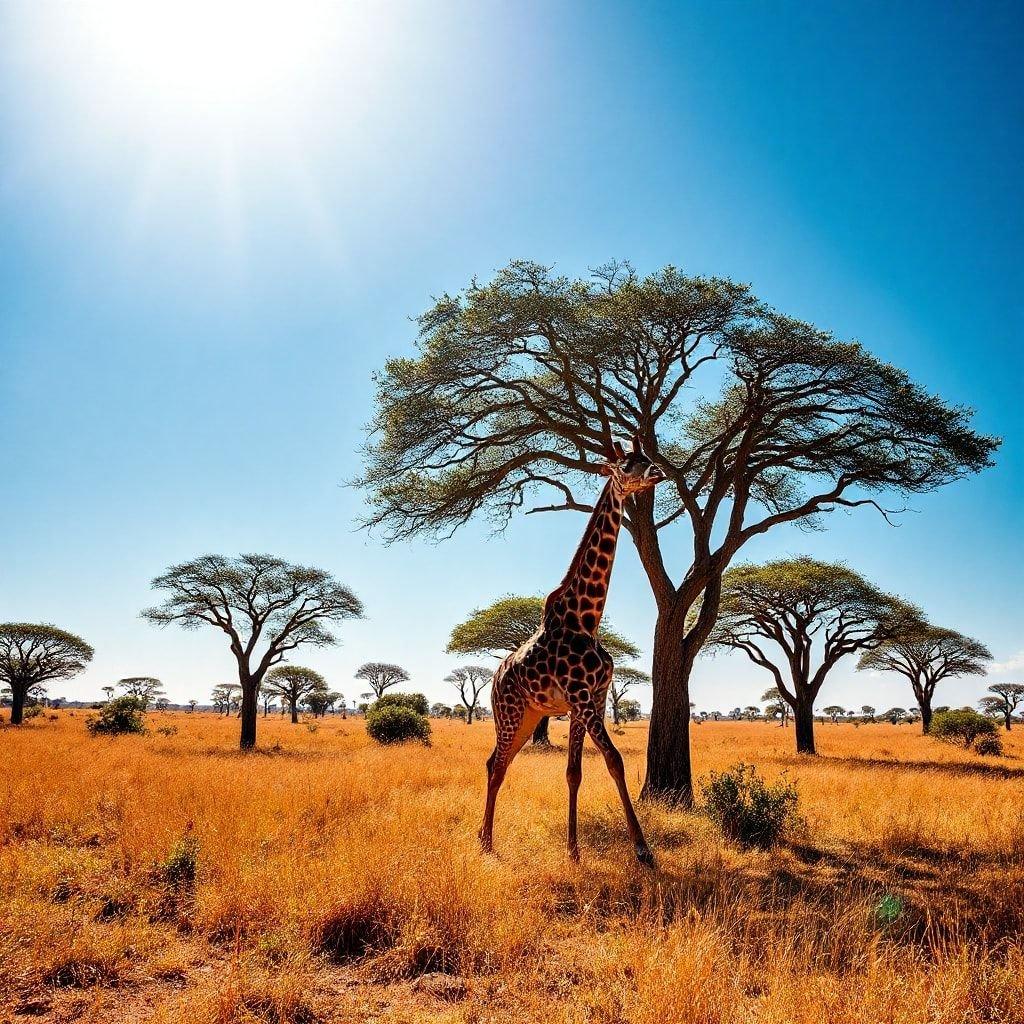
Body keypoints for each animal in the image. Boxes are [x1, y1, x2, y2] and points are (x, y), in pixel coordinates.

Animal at [477, 436, 663, 868]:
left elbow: (574, 772)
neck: (587, 619)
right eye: (627, 465)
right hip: (508, 713)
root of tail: (494, 677)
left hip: (529, 717)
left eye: (646, 457)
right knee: (495, 764)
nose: (658, 472)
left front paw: (574, 850)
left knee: (499, 762)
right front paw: (643, 851)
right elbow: (614, 760)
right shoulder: (581, 696)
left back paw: (483, 837)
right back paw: (487, 843)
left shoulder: (593, 697)